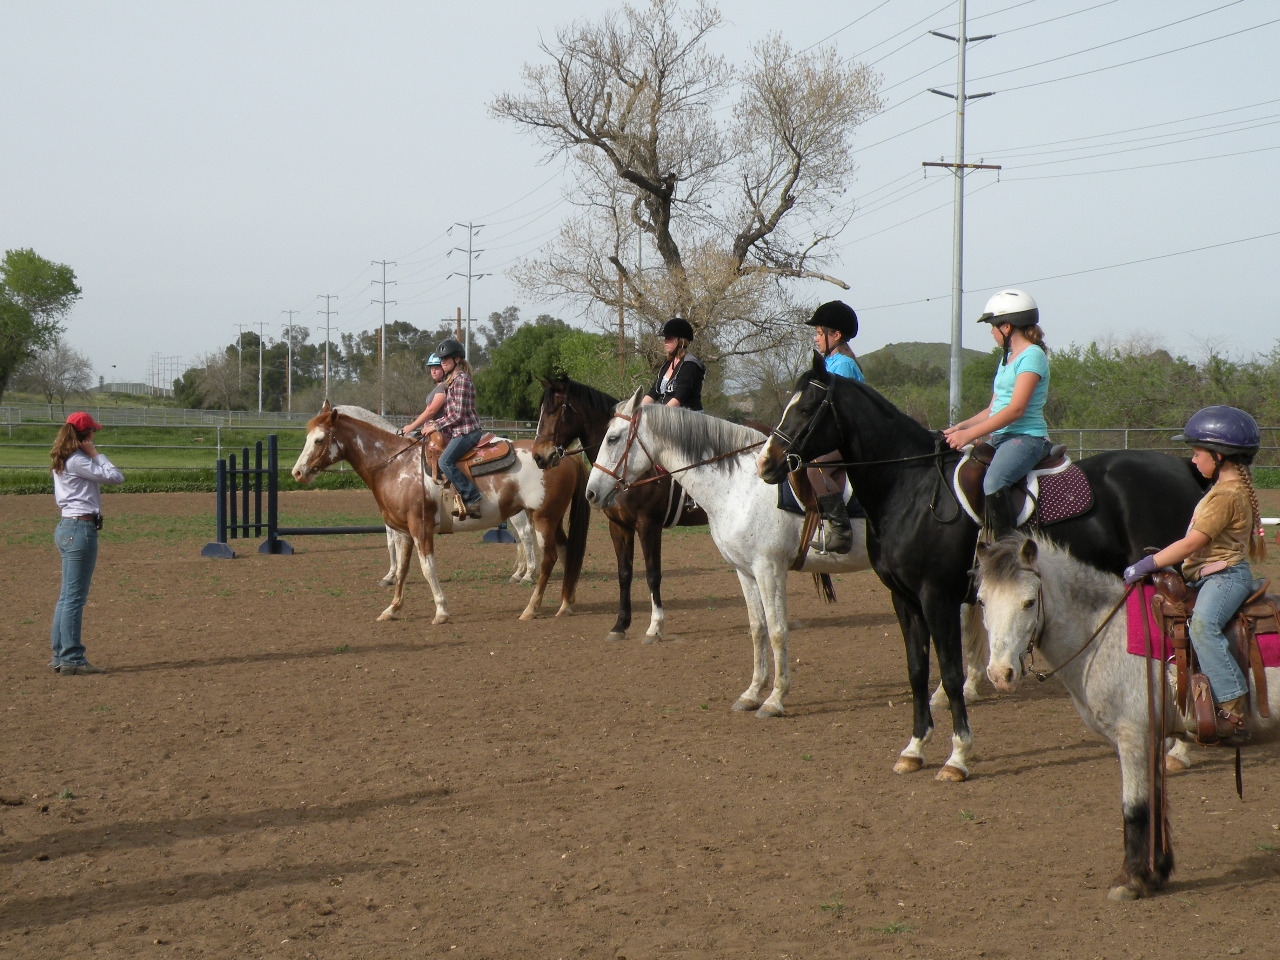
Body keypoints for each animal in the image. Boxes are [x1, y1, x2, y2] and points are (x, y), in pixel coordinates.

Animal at [291, 404, 588, 624]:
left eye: (319, 439)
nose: (297, 472)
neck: (395, 465)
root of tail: (562, 455)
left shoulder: (420, 528)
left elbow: (426, 567)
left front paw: (441, 611)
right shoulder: (403, 531)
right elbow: (403, 568)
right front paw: (392, 609)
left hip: (542, 518)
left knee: (548, 556)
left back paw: (531, 606)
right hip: (552, 520)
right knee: (566, 552)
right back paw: (566, 604)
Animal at [529, 378, 711, 642]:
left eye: (554, 410)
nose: (539, 456)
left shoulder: (648, 526)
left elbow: (652, 573)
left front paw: (655, 627)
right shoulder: (618, 526)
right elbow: (624, 573)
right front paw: (620, 625)